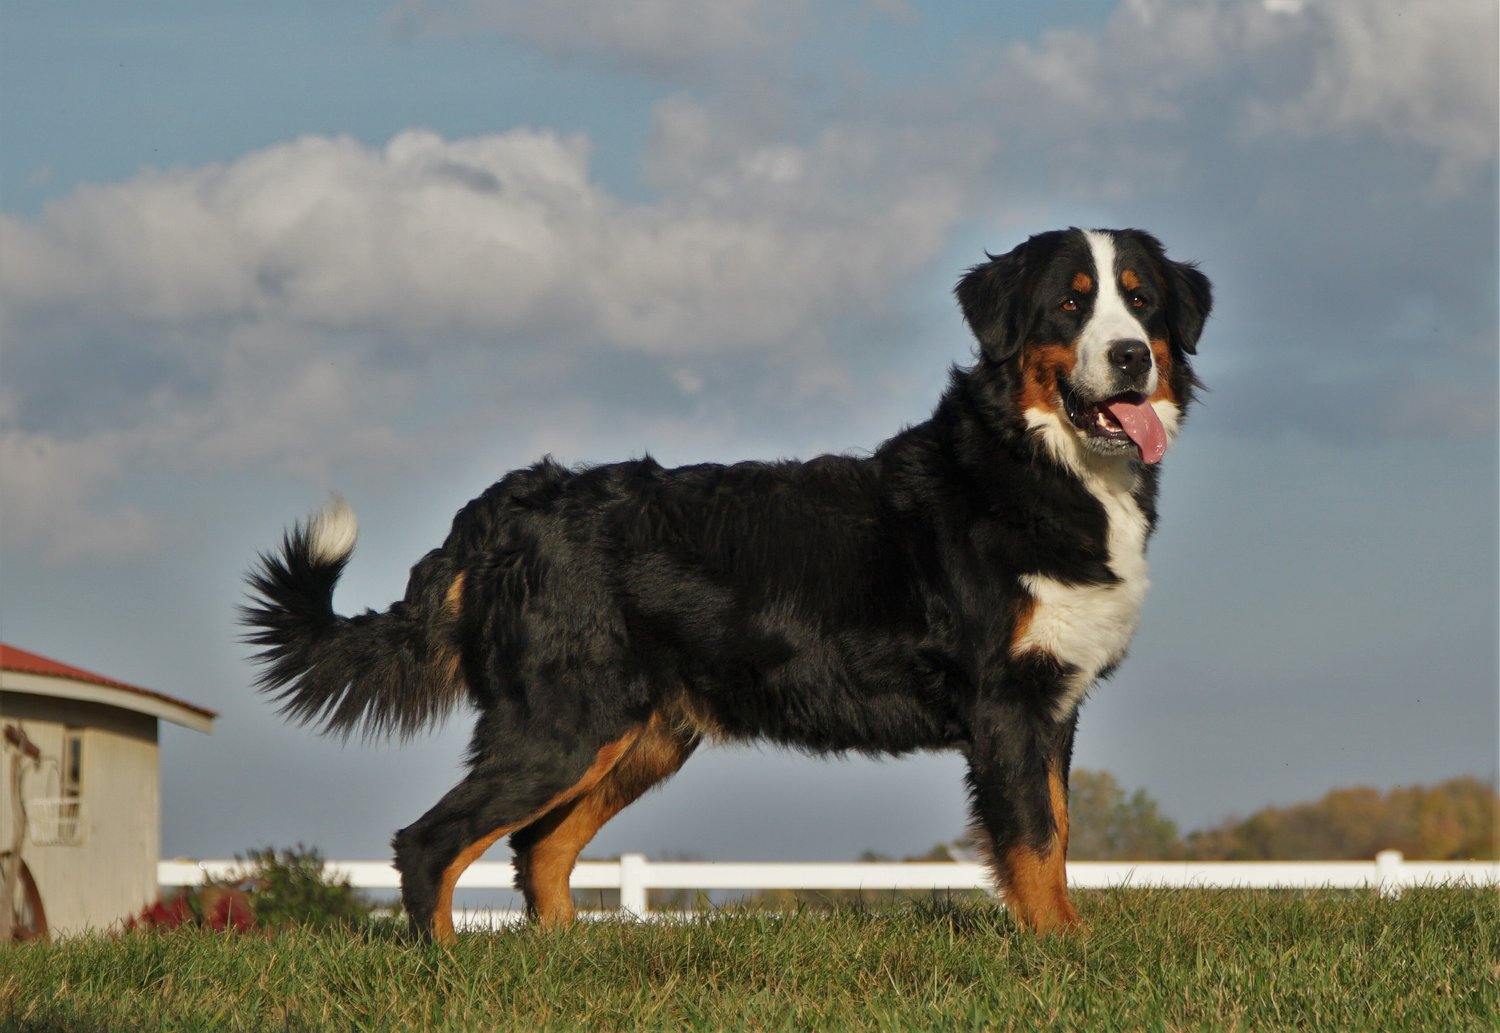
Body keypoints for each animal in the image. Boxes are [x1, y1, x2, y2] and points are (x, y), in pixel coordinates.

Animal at [243, 229, 1206, 941]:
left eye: (1142, 300)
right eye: (1070, 303)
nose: (1131, 357)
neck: (1042, 464)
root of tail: (510, 502)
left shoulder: (1054, 703)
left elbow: (1058, 830)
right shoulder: (1008, 702)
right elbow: (1035, 841)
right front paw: (1062, 952)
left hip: (639, 734)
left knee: (539, 846)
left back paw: (568, 958)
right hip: (562, 725)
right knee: (432, 841)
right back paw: (448, 963)